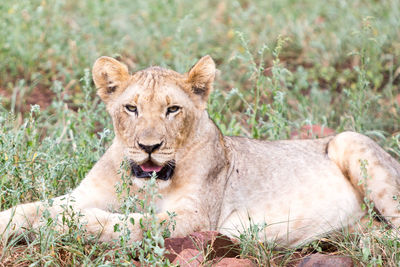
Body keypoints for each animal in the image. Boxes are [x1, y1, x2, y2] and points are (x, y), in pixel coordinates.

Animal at [0, 55, 400, 249]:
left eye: (172, 110)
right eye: (131, 108)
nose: (148, 147)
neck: (143, 185)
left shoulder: (195, 219)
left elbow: (125, 224)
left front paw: (67, 223)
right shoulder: (81, 193)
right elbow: (32, 207)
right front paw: (23, 221)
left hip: (350, 140)